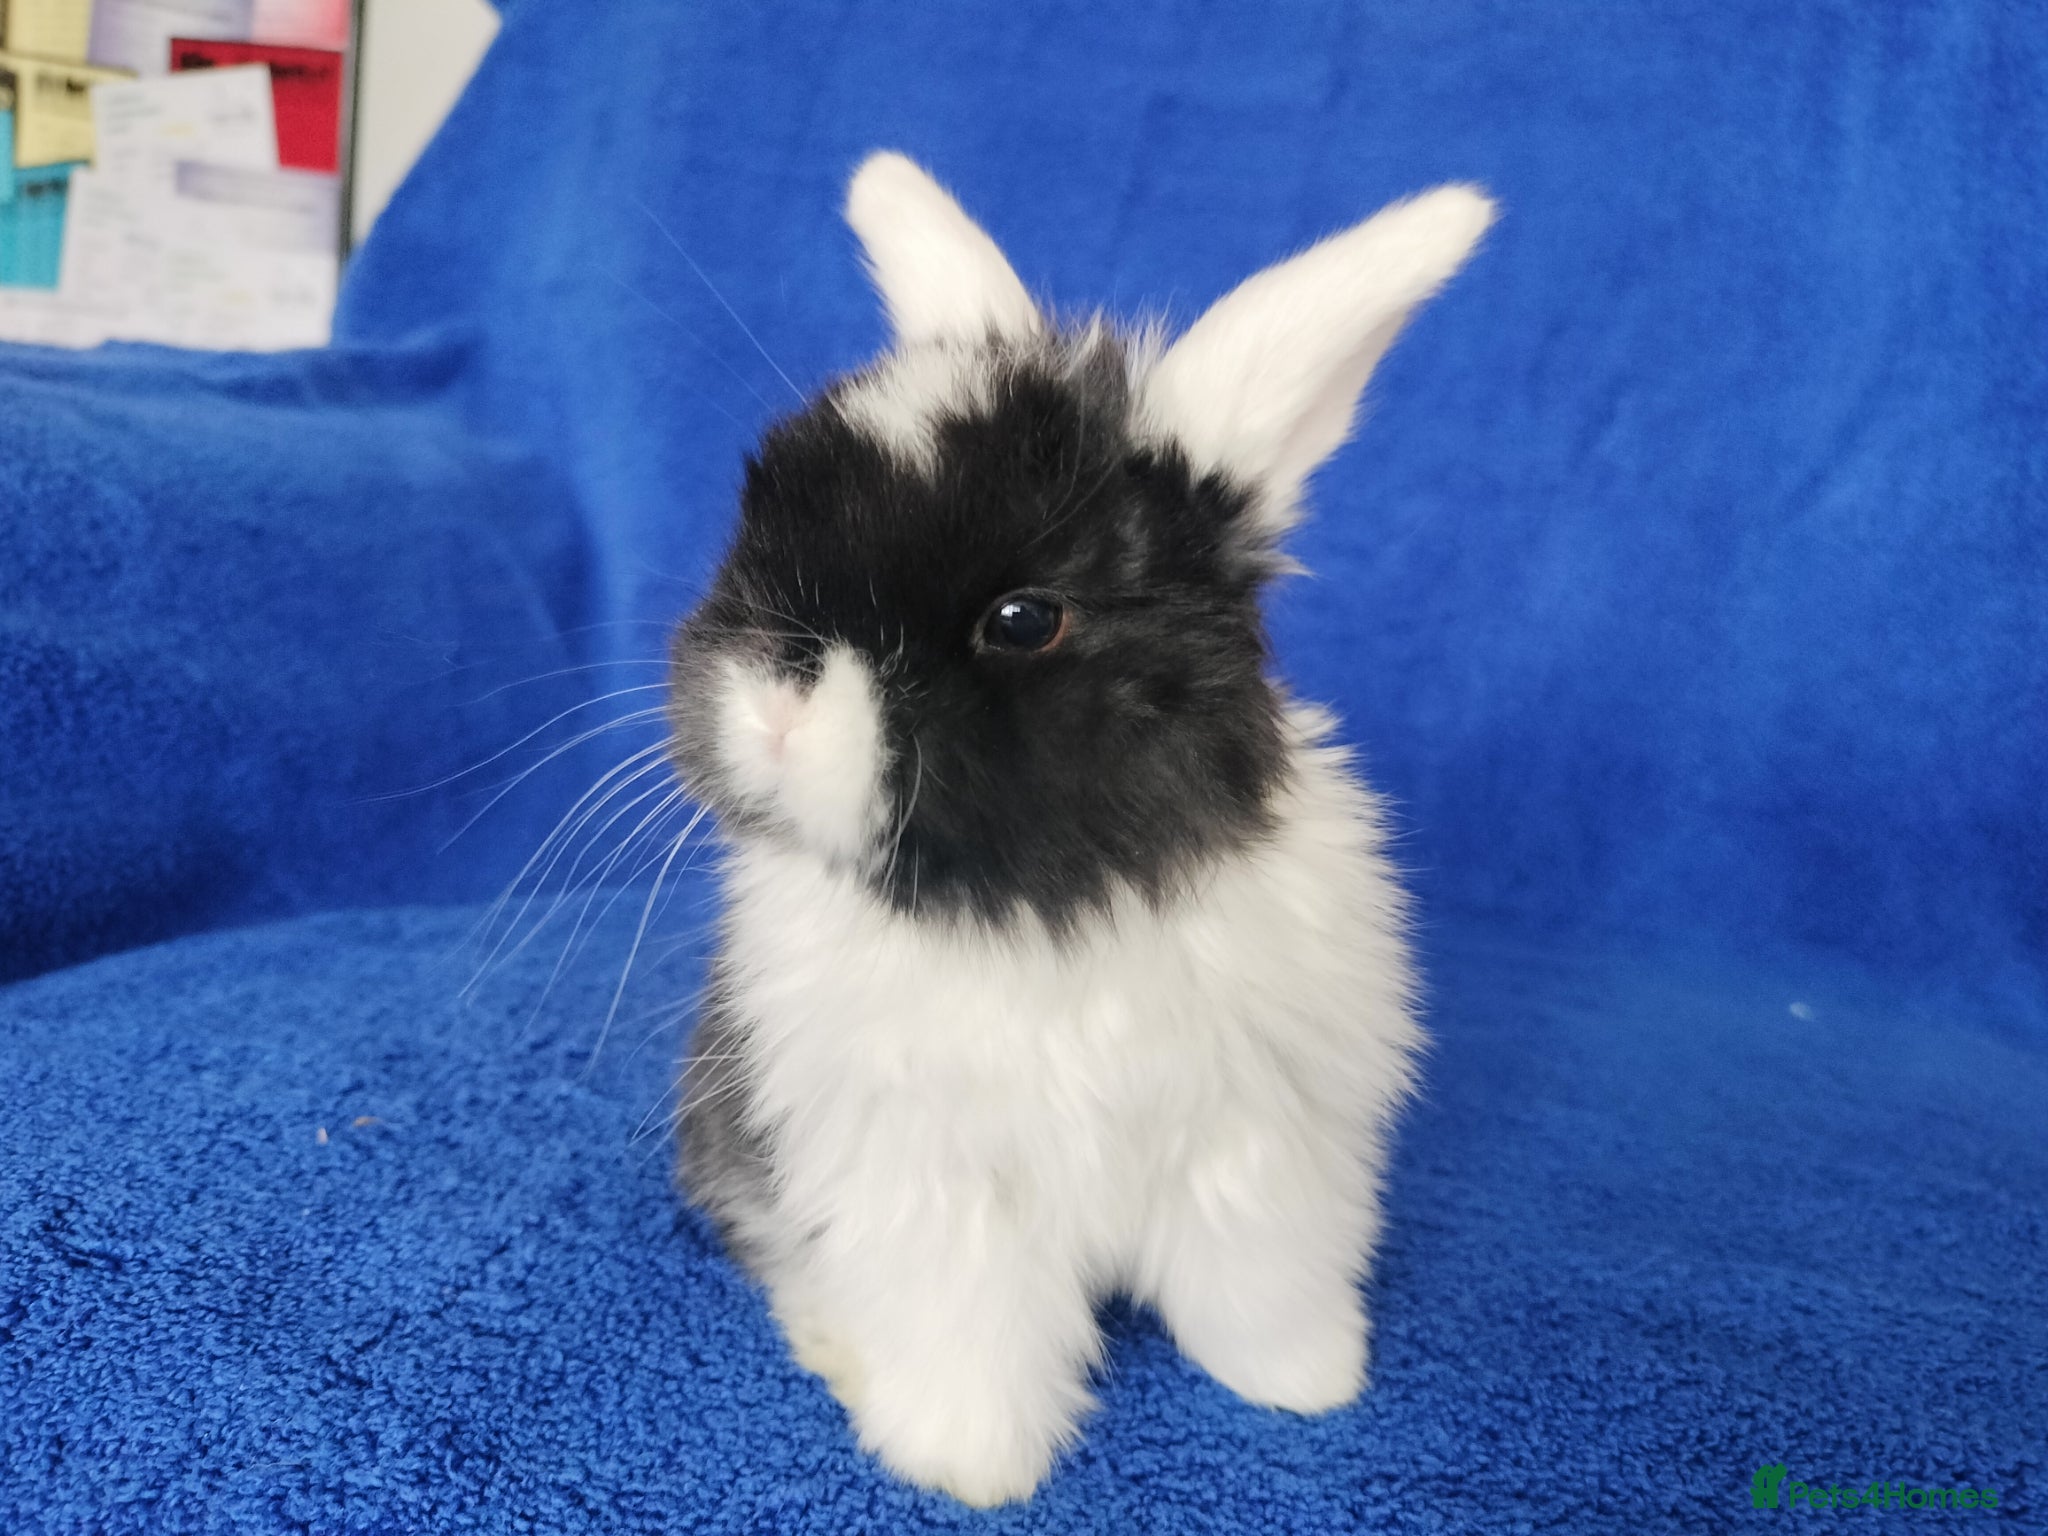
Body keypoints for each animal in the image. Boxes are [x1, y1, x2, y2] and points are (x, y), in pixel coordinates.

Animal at [666, 151, 1494, 1506]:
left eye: (1021, 618)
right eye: (758, 521)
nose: (775, 694)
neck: (1047, 896)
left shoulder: (1257, 1146)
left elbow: (1257, 1281)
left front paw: (1305, 1382)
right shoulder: (929, 1181)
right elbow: (966, 1325)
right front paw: (968, 1463)